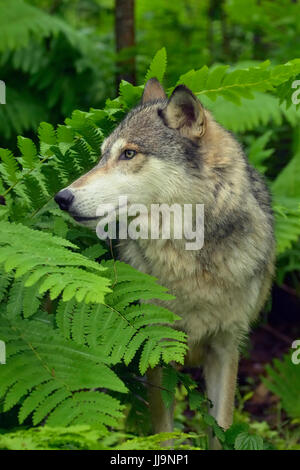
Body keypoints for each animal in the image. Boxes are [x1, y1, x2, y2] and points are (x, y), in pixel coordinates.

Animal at [54, 78, 274, 444]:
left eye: (129, 154)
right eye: (101, 156)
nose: (62, 197)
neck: (190, 262)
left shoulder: (226, 349)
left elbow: (220, 428)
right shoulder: (156, 348)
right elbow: (164, 431)